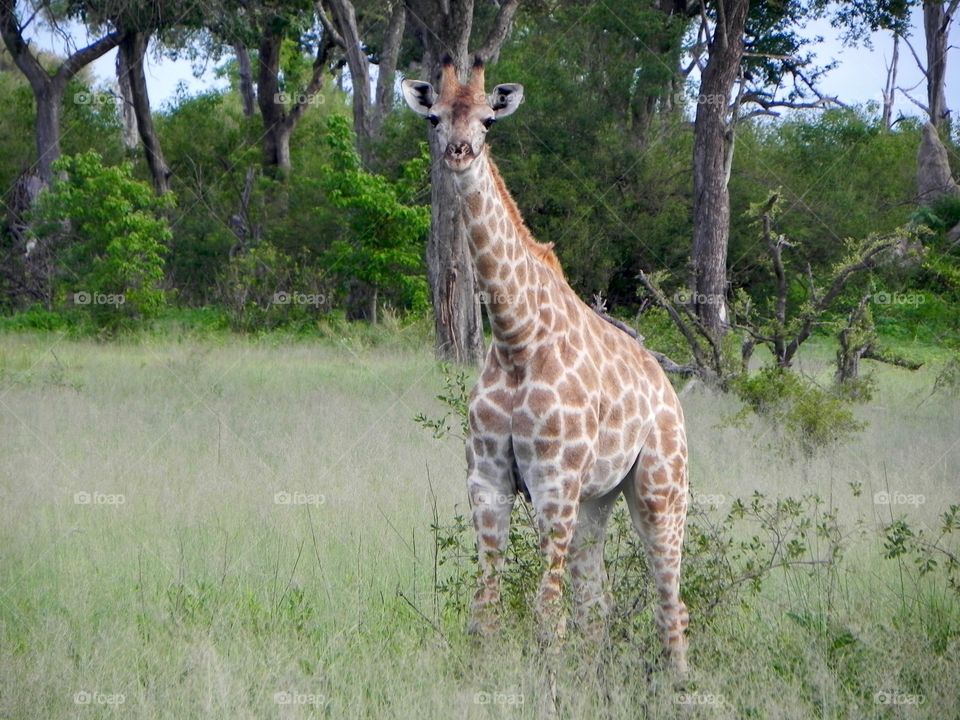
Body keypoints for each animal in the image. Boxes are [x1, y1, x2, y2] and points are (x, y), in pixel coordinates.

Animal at [404, 56, 688, 676]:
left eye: (488, 121)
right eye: (435, 116)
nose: (459, 152)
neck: (516, 339)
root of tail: (668, 387)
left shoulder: (554, 480)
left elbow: (544, 612)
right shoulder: (487, 477)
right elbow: (485, 607)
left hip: (661, 486)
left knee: (668, 599)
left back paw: (682, 683)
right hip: (597, 499)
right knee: (597, 602)